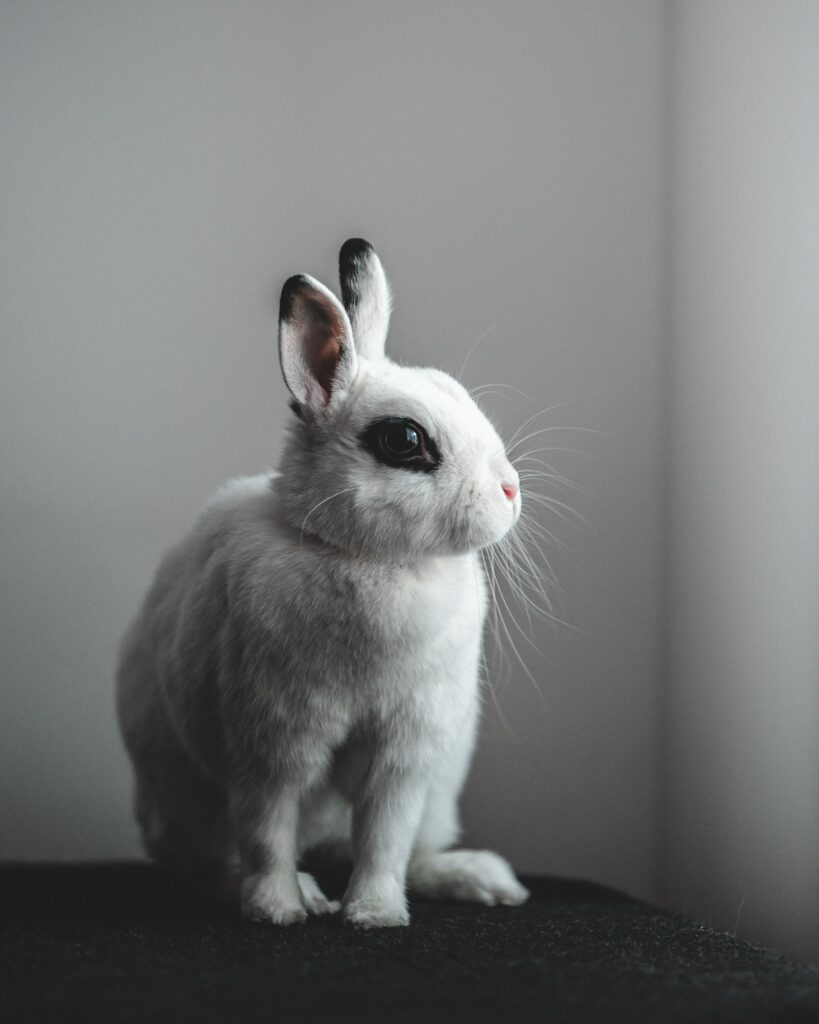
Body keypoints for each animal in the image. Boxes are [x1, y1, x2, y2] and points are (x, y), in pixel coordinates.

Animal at [116, 238, 529, 928]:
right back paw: (298, 892)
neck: (367, 557)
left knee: (414, 848)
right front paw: (277, 911)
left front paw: (375, 915)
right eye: (405, 439)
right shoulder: (271, 743)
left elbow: (385, 839)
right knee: (206, 865)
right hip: (187, 803)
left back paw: (481, 879)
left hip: (441, 792)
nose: (510, 490)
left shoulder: (404, 756)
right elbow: (267, 833)